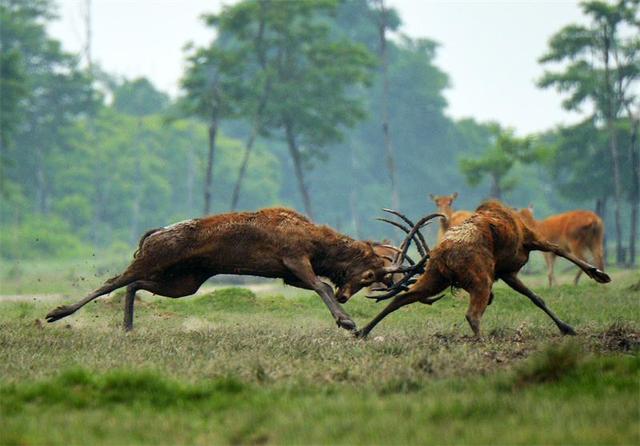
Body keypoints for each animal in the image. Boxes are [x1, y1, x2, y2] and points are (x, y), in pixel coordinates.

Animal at [45, 208, 416, 332]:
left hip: (186, 281)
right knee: (113, 281)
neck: (318, 245)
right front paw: (346, 322)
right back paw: (56, 312)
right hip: (155, 259)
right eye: (369, 274)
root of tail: (152, 234)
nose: (345, 295)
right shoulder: (293, 258)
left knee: (134, 285)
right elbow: (320, 286)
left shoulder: (289, 274)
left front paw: (345, 318)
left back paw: (128, 327)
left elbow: (314, 286)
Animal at [356, 200, 608, 340]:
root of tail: (443, 253)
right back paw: (482, 342)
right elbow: (558, 249)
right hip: (480, 278)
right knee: (472, 315)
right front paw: (598, 275)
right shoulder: (528, 240)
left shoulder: (507, 273)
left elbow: (536, 297)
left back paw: (362, 331)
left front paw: (566, 327)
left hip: (437, 277)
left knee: (402, 298)